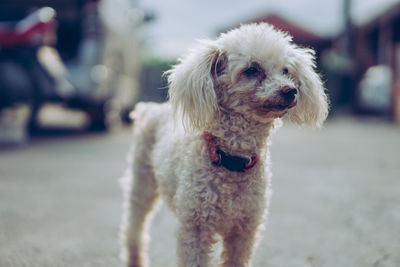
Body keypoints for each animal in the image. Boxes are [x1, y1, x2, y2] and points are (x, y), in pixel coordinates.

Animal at [119, 23, 328, 267]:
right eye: (251, 70)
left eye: (286, 70)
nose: (290, 90)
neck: (232, 158)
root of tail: (150, 109)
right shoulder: (195, 229)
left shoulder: (244, 231)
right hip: (142, 183)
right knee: (134, 227)